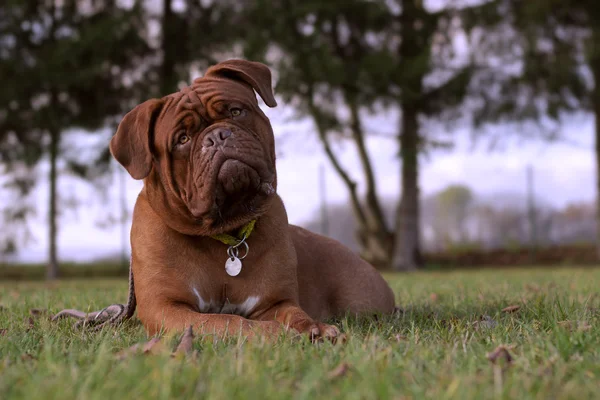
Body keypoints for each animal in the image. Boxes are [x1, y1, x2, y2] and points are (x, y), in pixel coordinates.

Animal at [55, 59, 398, 340]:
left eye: (235, 111)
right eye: (182, 139)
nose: (217, 136)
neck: (224, 233)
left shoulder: (275, 301)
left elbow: (294, 314)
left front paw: (313, 328)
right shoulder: (166, 308)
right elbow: (225, 322)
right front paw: (273, 334)